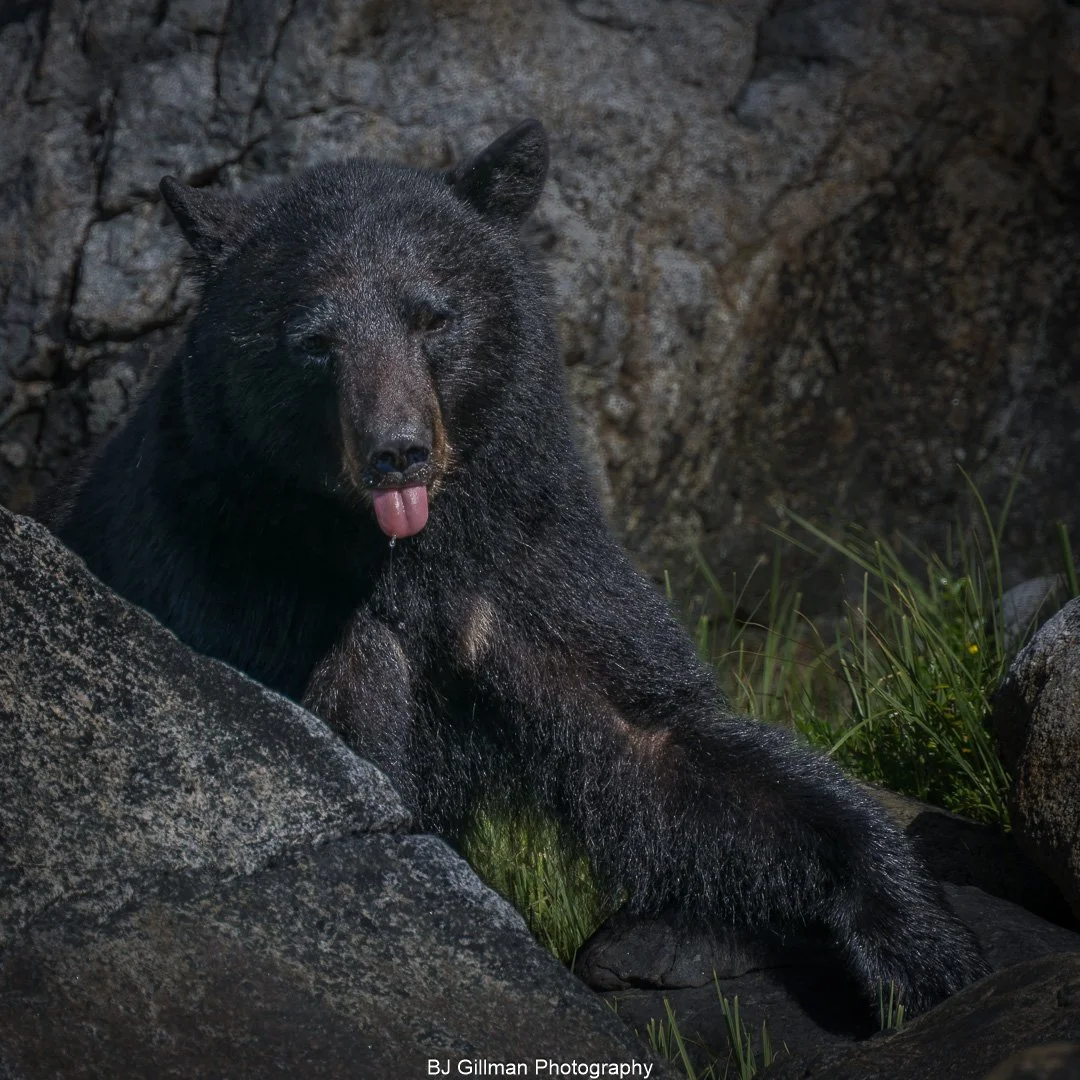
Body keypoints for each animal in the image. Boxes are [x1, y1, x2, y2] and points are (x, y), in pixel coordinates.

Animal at [52, 120, 989, 1016]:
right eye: (313, 341)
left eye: (434, 316)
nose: (396, 451)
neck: (409, 553)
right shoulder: (250, 588)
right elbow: (343, 760)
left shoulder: (528, 571)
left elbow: (662, 747)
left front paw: (919, 942)